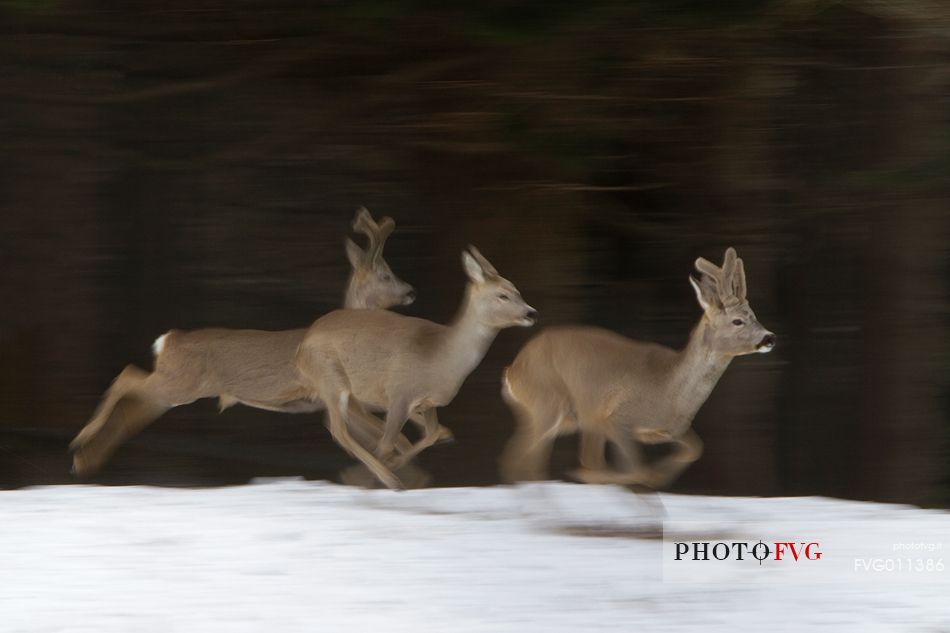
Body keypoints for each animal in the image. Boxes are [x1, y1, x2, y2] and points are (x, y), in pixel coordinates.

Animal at [71, 207, 416, 474]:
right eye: (385, 275)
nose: (412, 291)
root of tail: (169, 339)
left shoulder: (343, 400)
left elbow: (395, 439)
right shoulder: (338, 395)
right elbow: (393, 438)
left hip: (173, 389)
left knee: (130, 406)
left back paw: (84, 461)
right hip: (180, 383)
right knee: (126, 377)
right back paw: (80, 440)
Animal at [298, 246, 536, 488]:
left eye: (517, 290)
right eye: (502, 295)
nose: (530, 312)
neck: (442, 358)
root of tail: (303, 343)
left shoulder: (428, 402)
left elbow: (431, 434)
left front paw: (396, 464)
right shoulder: (400, 393)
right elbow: (387, 442)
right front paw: (384, 476)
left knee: (344, 425)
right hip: (330, 378)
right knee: (340, 430)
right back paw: (384, 478)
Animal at [502, 247, 776, 488]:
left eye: (755, 315)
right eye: (737, 321)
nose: (769, 338)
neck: (671, 393)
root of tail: (512, 370)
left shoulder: (673, 429)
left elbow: (695, 449)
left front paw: (659, 476)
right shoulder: (615, 417)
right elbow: (635, 468)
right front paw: (649, 478)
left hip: (558, 414)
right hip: (549, 402)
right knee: (524, 459)